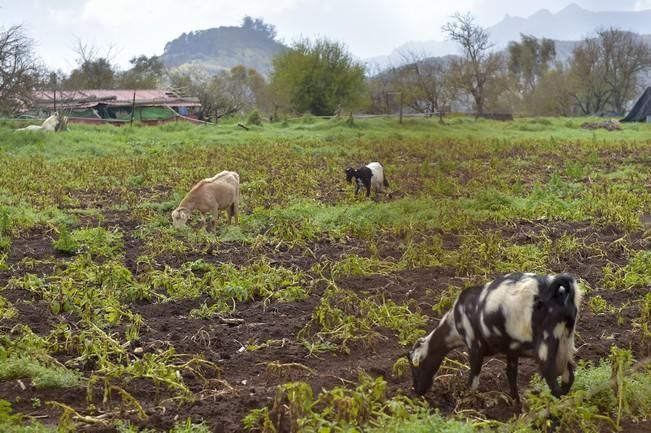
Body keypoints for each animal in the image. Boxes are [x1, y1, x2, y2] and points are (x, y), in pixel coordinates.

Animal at [410, 272, 584, 400]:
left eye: (415, 366)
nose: (417, 391)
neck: (455, 321)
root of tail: (560, 291)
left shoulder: (475, 347)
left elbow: (473, 382)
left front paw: (462, 400)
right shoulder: (512, 350)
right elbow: (511, 375)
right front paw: (515, 404)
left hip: (546, 348)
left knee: (555, 386)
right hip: (566, 344)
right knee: (568, 379)